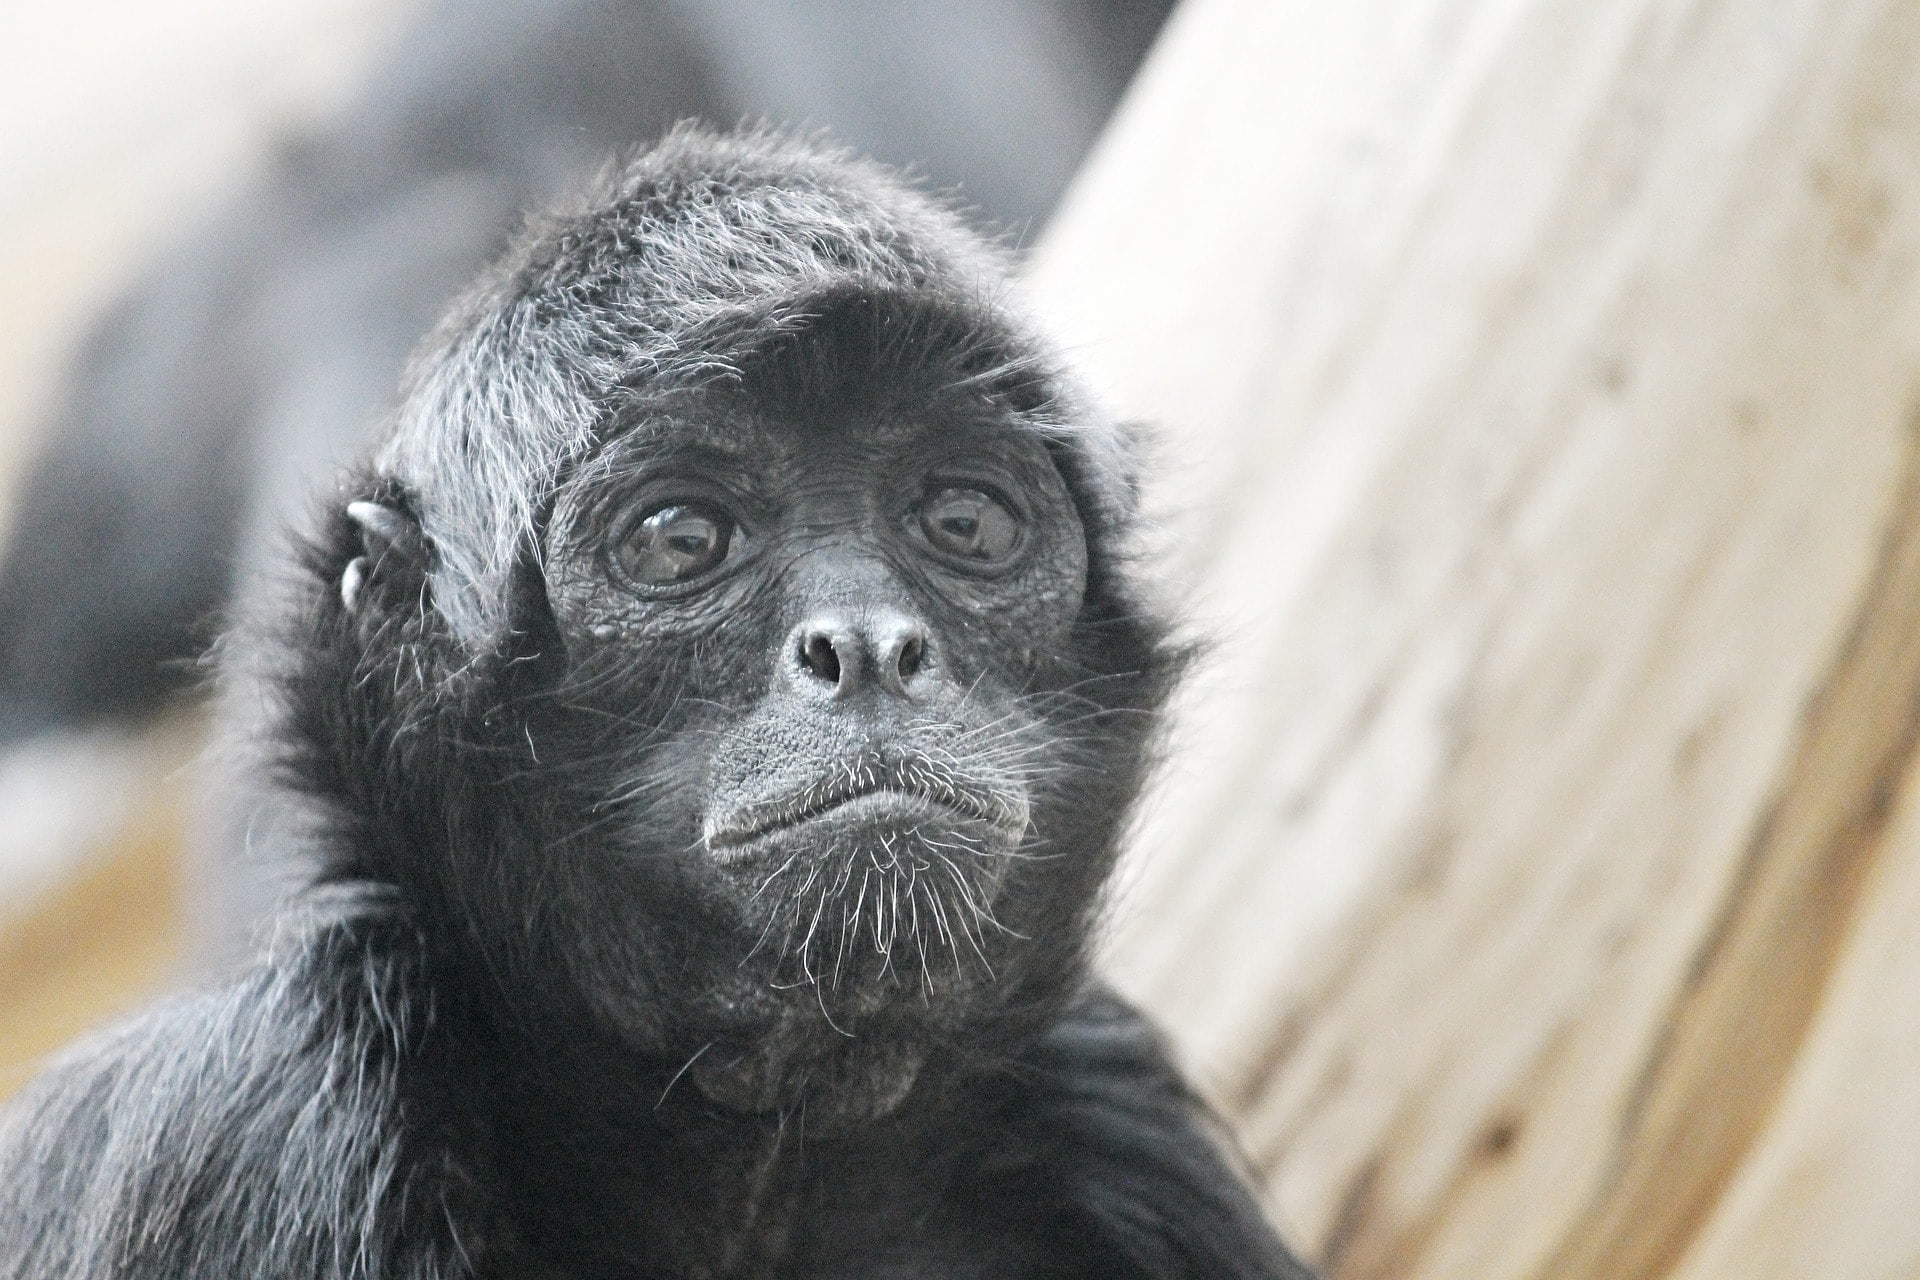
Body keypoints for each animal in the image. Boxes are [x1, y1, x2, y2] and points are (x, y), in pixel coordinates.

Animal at [0, 130, 1313, 1280]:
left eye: (964, 519)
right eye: (681, 538)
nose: (868, 645)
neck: (744, 1175)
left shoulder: (1126, 1129)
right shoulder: (258, 1118)